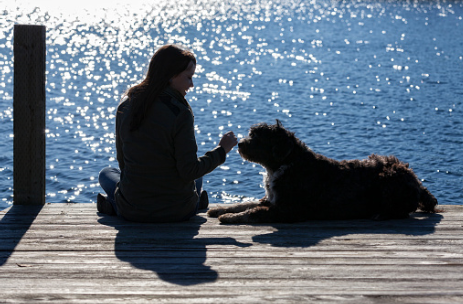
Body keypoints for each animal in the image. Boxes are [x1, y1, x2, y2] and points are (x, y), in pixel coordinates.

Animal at [208, 120, 440, 223]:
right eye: (251, 133)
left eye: (259, 137)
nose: (240, 144)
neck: (286, 163)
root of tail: (414, 177)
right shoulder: (271, 199)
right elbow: (244, 204)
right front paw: (221, 209)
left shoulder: (287, 209)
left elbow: (253, 211)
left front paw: (229, 217)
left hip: (388, 179)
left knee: (401, 210)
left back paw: (381, 213)